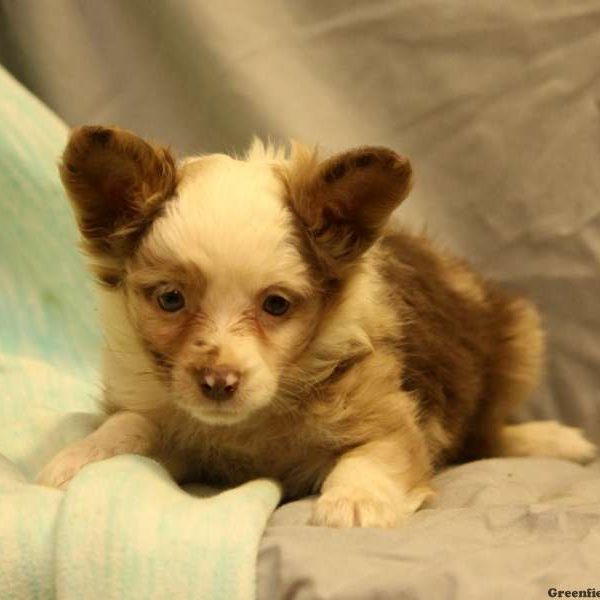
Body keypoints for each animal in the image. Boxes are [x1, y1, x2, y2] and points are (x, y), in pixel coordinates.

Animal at [37, 125, 596, 524]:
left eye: (277, 305)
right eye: (171, 299)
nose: (217, 383)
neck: (252, 424)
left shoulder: (390, 420)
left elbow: (371, 458)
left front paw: (354, 504)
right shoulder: (168, 419)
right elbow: (129, 424)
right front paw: (77, 456)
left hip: (522, 341)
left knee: (489, 431)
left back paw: (553, 441)